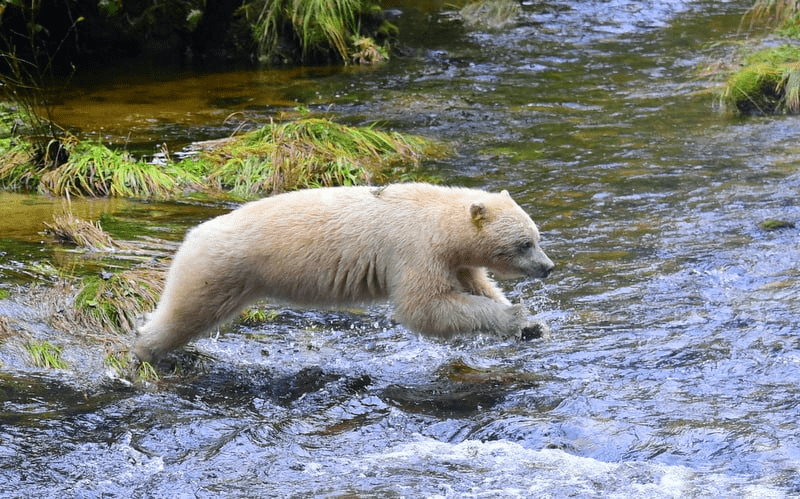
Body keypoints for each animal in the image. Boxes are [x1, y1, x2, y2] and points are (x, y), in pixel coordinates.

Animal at [133, 184, 556, 364]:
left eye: (537, 237)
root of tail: (193, 234)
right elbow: (425, 308)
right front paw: (515, 316)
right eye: (524, 244)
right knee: (186, 310)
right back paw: (145, 349)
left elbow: (477, 283)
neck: (438, 216)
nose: (548, 268)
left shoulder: (454, 258)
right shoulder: (414, 249)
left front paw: (532, 326)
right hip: (220, 268)